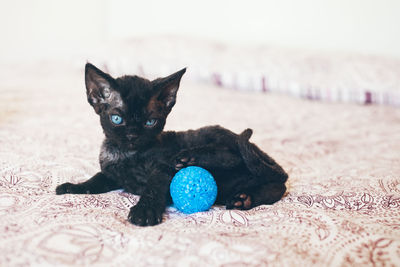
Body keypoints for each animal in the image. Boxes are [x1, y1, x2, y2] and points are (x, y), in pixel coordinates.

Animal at [56, 63, 288, 227]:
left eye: (150, 122)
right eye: (117, 119)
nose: (133, 135)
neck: (126, 155)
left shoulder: (162, 167)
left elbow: (153, 186)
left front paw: (145, 211)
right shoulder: (111, 174)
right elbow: (95, 180)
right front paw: (74, 187)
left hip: (212, 136)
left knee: (234, 156)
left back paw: (190, 158)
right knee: (274, 185)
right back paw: (244, 198)